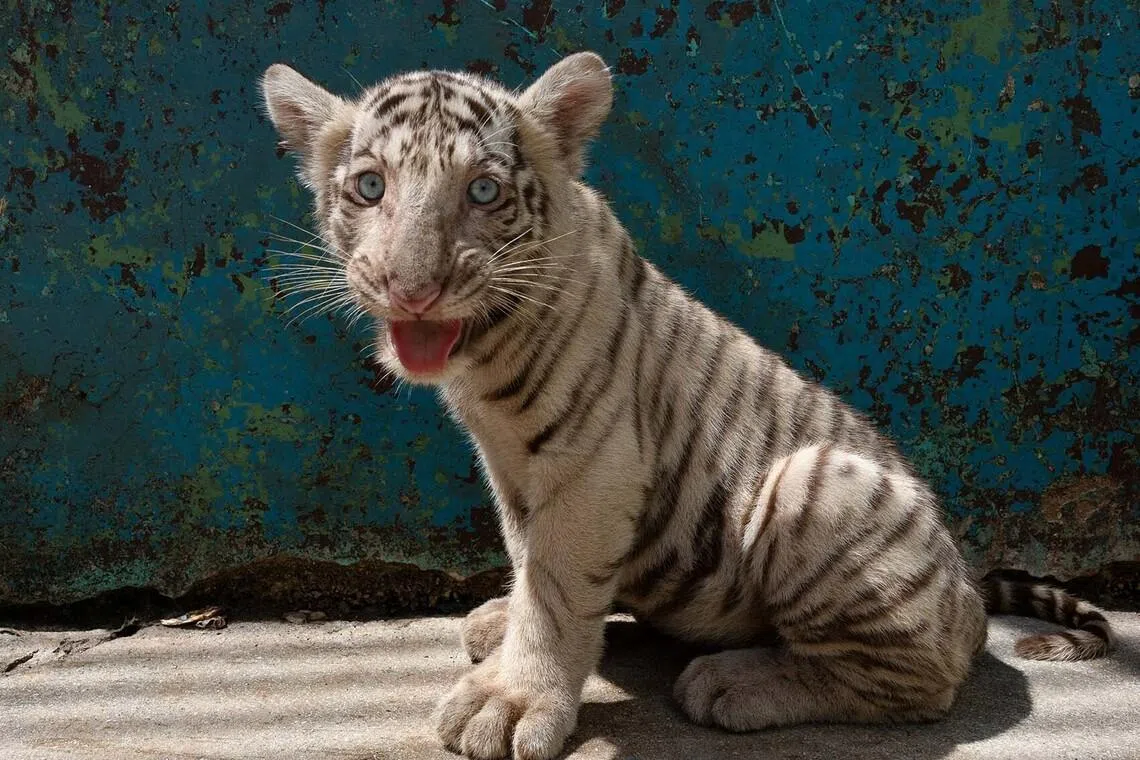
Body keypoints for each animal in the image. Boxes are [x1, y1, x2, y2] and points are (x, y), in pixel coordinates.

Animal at [259, 52, 1116, 760]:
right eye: (371, 187)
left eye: (484, 191)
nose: (412, 289)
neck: (488, 347)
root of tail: (967, 592)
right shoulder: (511, 469)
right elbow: (529, 558)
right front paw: (507, 631)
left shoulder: (592, 465)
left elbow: (556, 590)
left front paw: (512, 701)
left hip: (817, 486)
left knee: (920, 682)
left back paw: (736, 682)